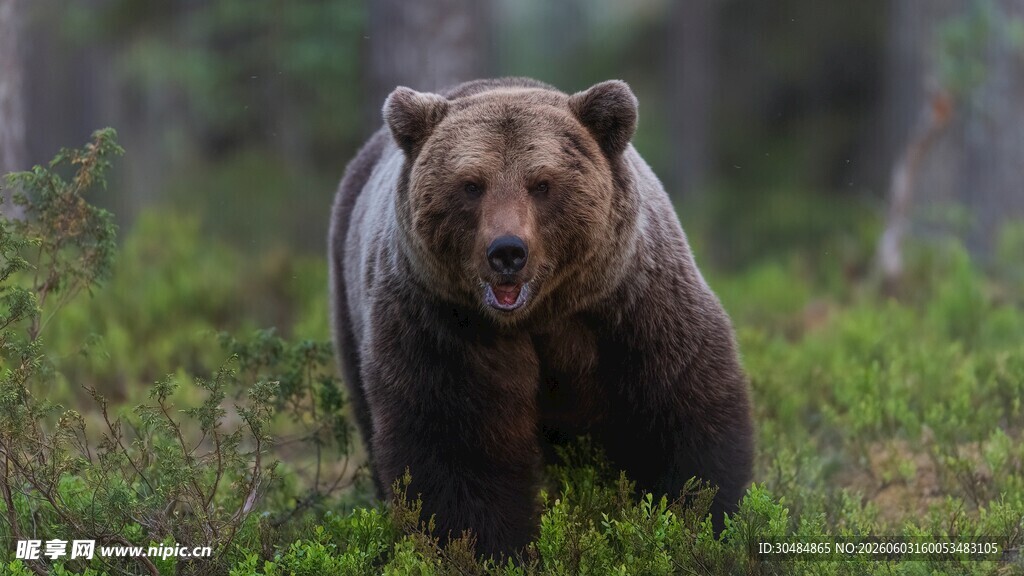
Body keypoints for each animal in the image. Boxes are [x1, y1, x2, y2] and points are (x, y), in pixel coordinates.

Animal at [329, 77, 754, 557]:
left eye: (542, 183)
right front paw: (489, 546)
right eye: (471, 184)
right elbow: (457, 447)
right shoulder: (444, 326)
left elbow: (681, 416)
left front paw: (698, 519)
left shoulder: (631, 308)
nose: (507, 251)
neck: (539, 314)